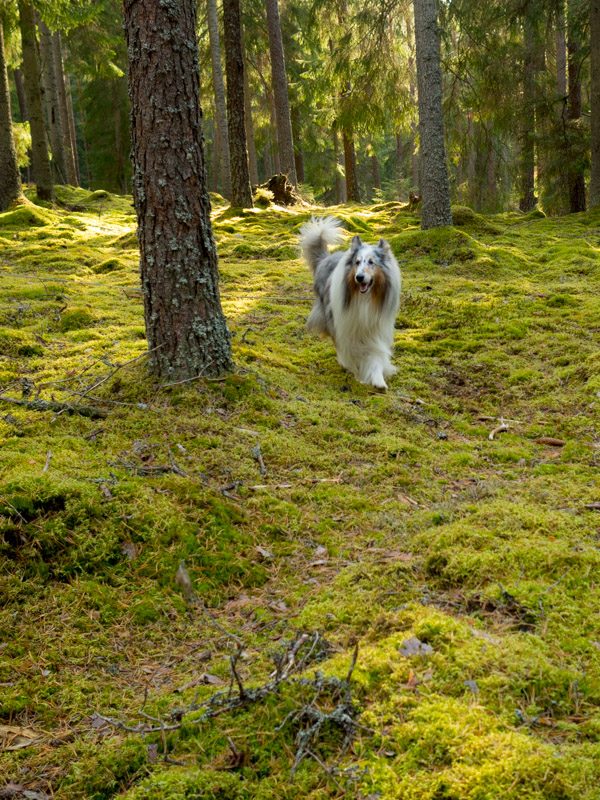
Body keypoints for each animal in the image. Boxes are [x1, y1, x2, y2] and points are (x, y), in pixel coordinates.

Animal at [300, 216, 404, 390]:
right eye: (357, 262)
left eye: (371, 262)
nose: (359, 278)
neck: (365, 299)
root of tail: (326, 258)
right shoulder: (346, 325)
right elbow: (350, 350)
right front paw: (357, 372)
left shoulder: (375, 328)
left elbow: (375, 354)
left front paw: (378, 380)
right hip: (329, 315)